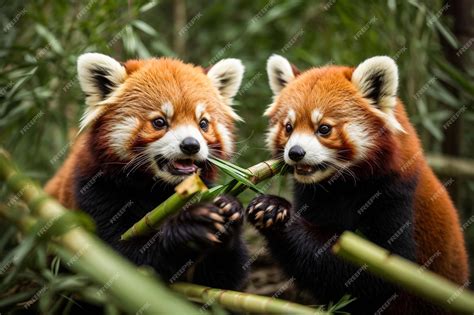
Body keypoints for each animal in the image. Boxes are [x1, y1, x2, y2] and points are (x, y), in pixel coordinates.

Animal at [46, 53, 250, 290]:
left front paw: (230, 209)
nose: (191, 145)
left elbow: (222, 279)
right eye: (159, 122)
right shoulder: (94, 191)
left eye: (203, 124)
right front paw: (188, 226)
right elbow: (121, 261)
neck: (158, 189)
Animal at [246, 54, 468, 314]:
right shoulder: (313, 197)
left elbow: (380, 274)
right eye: (288, 127)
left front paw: (277, 211)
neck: (340, 187)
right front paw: (269, 210)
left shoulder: (396, 197)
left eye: (324, 129)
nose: (296, 153)